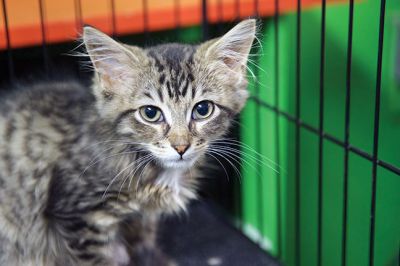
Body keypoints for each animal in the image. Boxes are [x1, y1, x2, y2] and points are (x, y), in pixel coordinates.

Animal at [0, 19, 256, 266]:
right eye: (150, 113)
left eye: (203, 110)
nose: (181, 147)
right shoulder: (78, 218)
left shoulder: (143, 220)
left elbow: (145, 247)